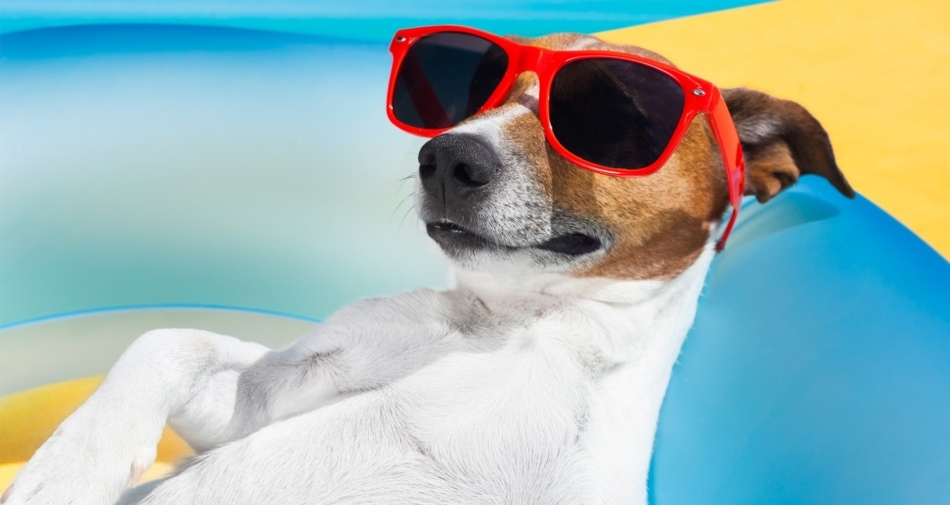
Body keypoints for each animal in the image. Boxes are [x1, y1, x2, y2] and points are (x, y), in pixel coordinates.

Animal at [3, 28, 856, 504]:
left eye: (614, 111)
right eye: (469, 90)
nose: (448, 156)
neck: (507, 326)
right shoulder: (260, 400)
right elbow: (166, 340)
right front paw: (66, 467)